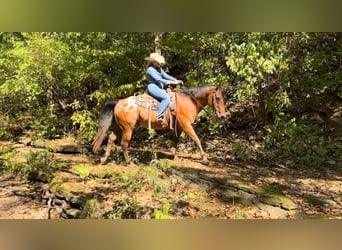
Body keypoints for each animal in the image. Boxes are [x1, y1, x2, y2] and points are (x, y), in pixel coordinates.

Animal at [92, 85, 228, 165]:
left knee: (111, 138)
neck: (189, 101)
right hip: (128, 128)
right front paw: (204, 159)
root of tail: (119, 102)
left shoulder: (179, 127)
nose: (222, 116)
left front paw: (174, 156)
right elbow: (196, 139)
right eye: (217, 98)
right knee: (124, 143)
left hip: (120, 128)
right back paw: (129, 162)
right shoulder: (186, 125)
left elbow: (175, 141)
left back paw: (104, 159)